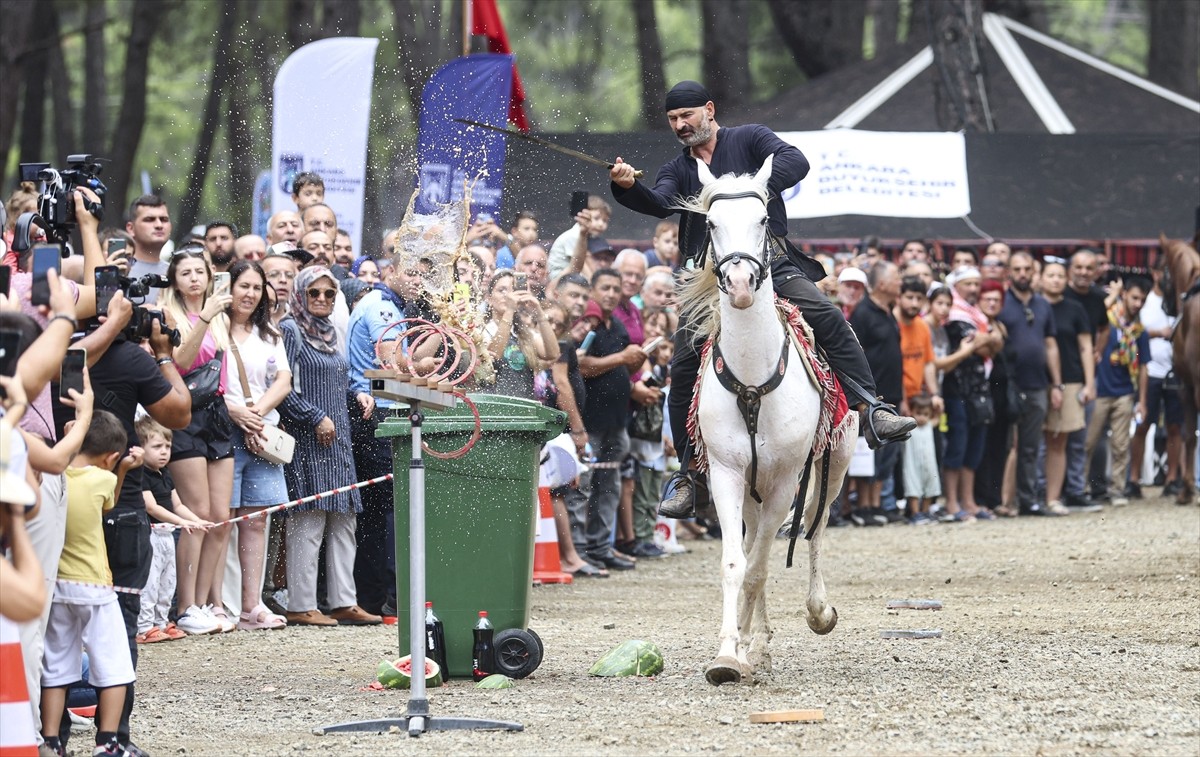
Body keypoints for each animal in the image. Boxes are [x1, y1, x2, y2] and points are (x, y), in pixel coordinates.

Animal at [681, 155, 859, 686]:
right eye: (711, 224)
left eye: (763, 219)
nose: (740, 286)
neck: (753, 378)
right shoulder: (726, 474)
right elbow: (736, 563)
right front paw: (730, 653)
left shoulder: (784, 480)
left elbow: (760, 566)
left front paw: (742, 646)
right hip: (752, 489)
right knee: (757, 540)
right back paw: (754, 645)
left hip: (835, 461)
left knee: (816, 526)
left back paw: (816, 613)